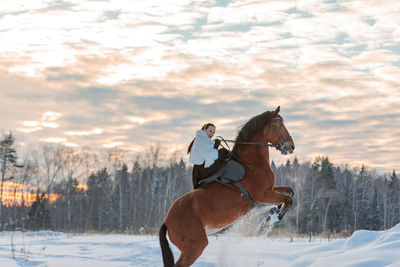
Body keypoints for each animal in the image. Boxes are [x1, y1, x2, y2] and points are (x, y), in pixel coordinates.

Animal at [159, 107, 294, 267]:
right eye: (279, 125)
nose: (291, 146)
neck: (251, 165)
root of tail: (167, 220)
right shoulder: (263, 194)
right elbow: (288, 199)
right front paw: (274, 217)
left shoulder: (271, 189)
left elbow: (290, 192)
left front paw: (273, 211)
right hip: (195, 246)